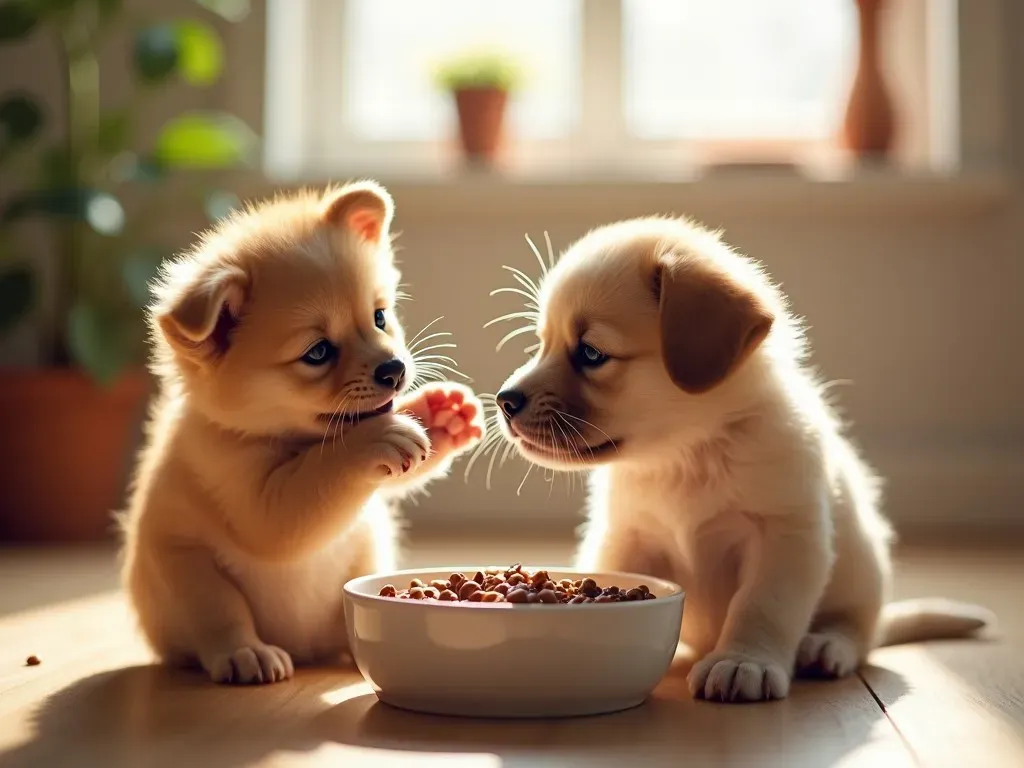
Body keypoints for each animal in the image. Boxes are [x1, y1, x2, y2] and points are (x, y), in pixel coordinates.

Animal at [120, 183, 483, 688]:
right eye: (318, 352)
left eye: (379, 317)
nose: (395, 370)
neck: (284, 436)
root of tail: (305, 646)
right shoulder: (249, 495)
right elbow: (310, 490)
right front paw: (375, 439)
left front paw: (441, 414)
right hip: (191, 573)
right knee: (222, 617)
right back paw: (245, 653)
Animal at [493, 217, 991, 704]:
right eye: (541, 343)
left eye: (591, 352)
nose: (504, 401)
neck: (685, 454)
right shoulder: (629, 537)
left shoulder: (785, 535)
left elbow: (760, 606)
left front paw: (742, 660)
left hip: (864, 569)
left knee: (859, 630)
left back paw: (827, 645)